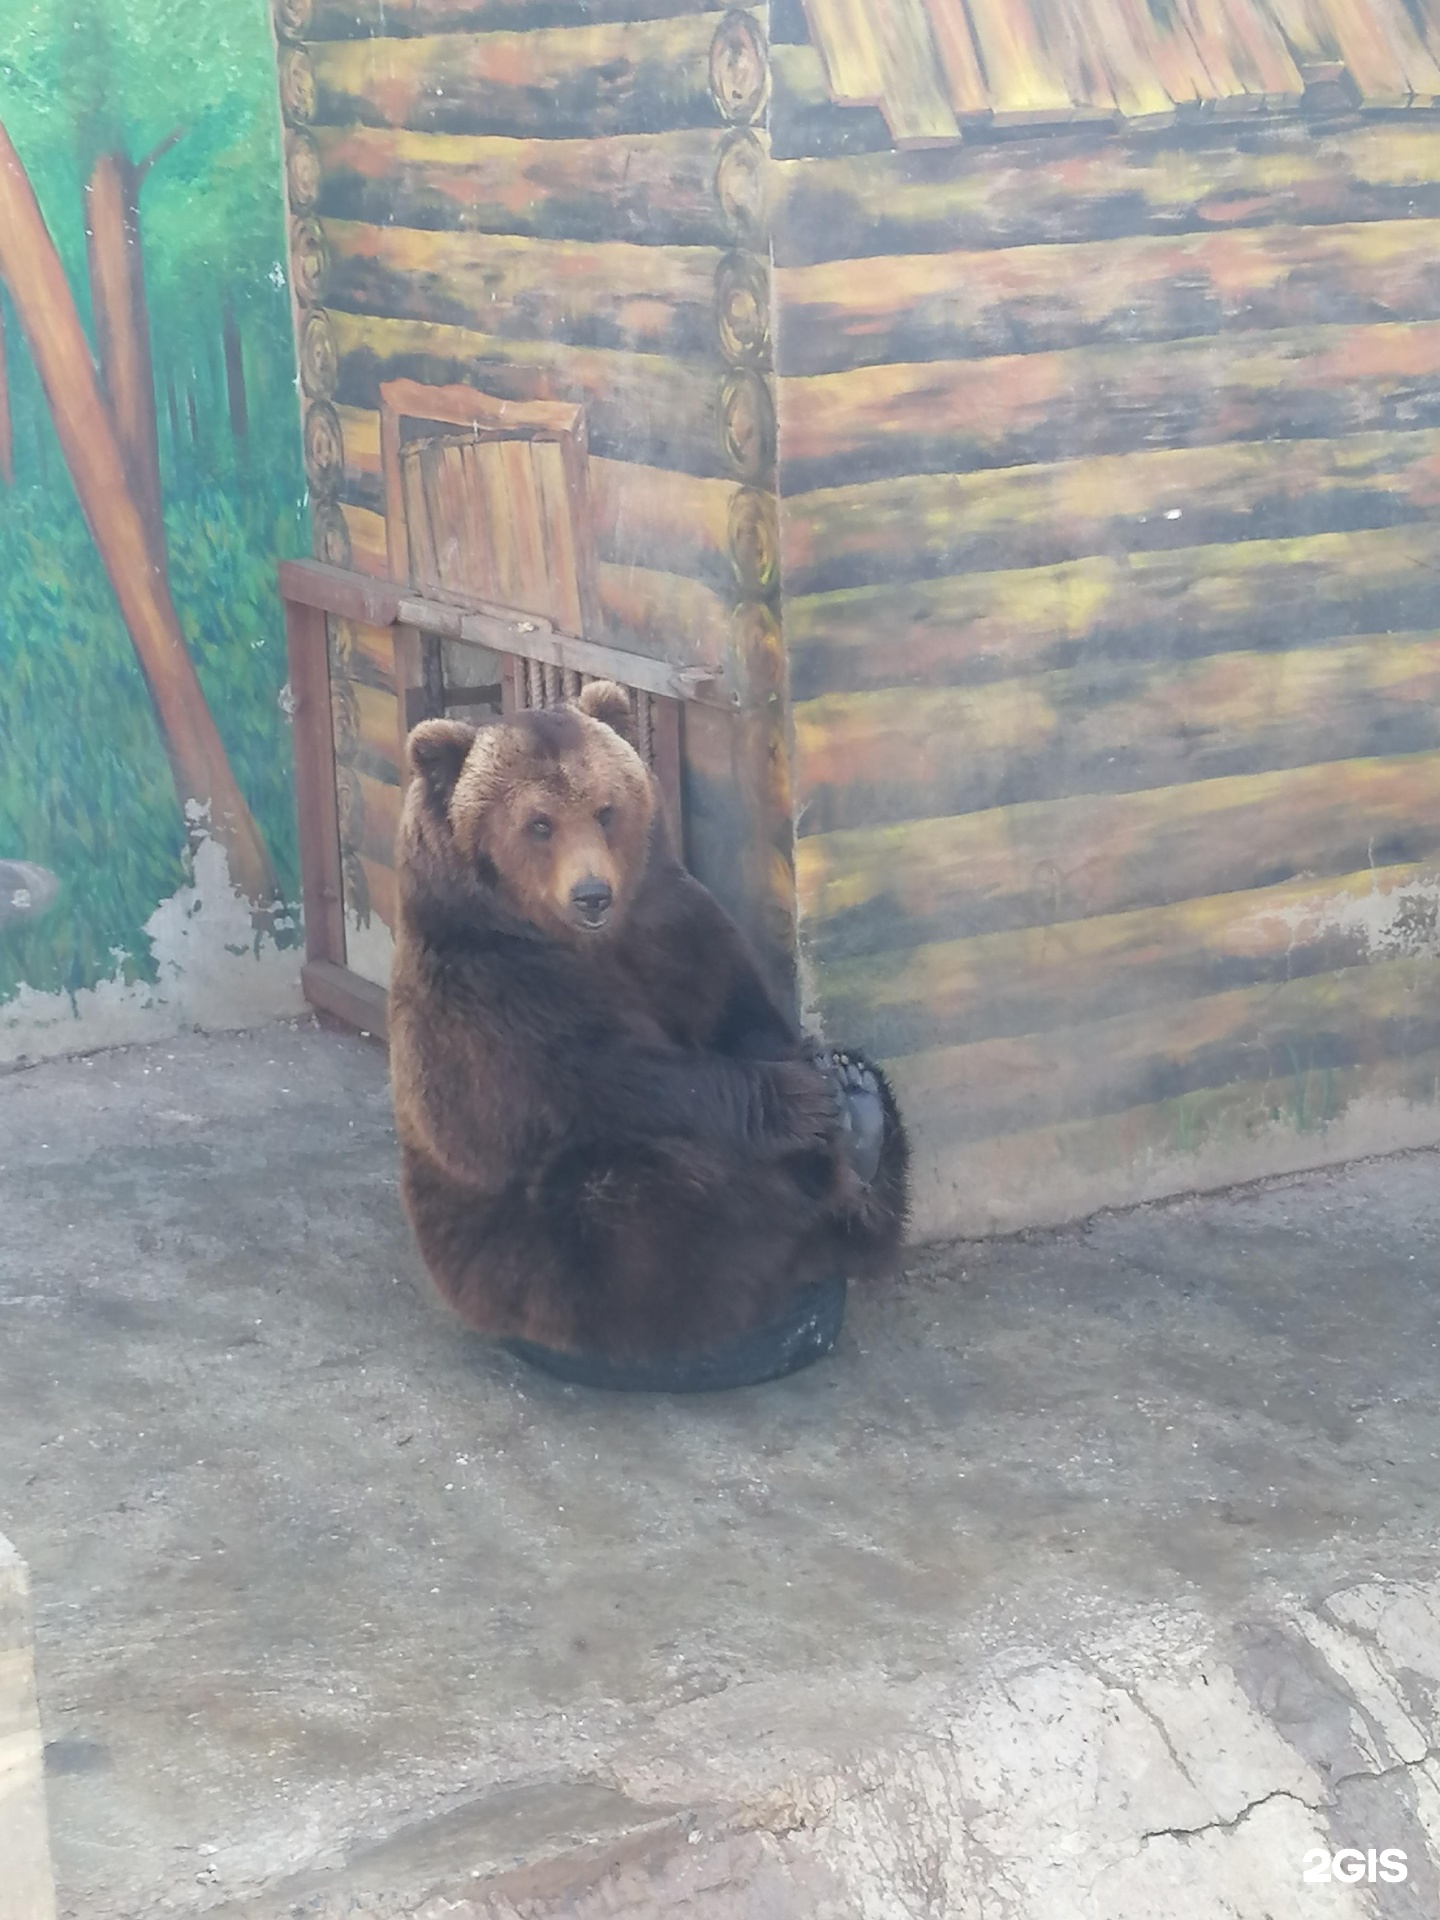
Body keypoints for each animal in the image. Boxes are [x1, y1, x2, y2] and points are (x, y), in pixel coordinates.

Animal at [389, 683, 906, 1390]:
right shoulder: (492, 992)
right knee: (644, 1202)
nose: (592, 894)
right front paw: (801, 1099)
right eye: (539, 823)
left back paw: (862, 1114)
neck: (584, 944)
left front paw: (835, 1079)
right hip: (515, 1251)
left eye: (605, 810)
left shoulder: (675, 928)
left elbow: (743, 1017)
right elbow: (617, 1075)